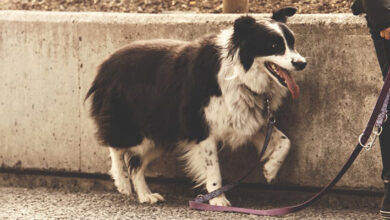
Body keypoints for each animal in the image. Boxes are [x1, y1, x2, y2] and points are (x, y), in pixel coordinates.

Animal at [86, 7, 308, 206]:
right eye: (274, 45)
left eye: (292, 43)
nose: (302, 63)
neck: (240, 74)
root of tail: (105, 65)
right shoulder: (202, 126)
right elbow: (213, 167)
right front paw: (218, 199)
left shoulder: (246, 118)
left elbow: (285, 141)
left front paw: (270, 170)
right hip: (133, 122)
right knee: (116, 146)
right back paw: (122, 182)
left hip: (161, 132)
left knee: (136, 165)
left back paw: (145, 195)